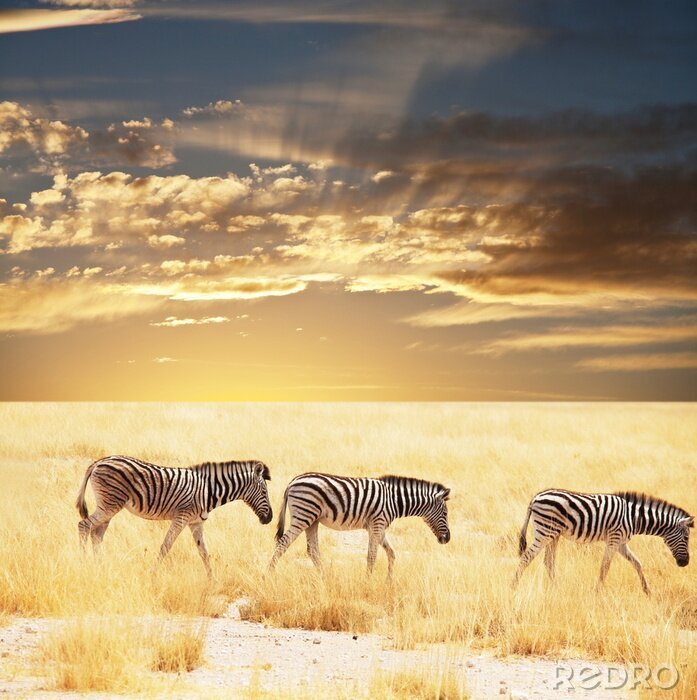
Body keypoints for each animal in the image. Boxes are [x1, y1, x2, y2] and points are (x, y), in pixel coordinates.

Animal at [75, 455, 272, 576]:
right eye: (264, 492)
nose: (269, 518)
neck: (208, 491)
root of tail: (99, 461)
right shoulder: (182, 517)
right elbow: (166, 546)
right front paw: (153, 575)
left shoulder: (196, 522)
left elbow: (204, 552)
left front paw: (212, 580)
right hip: (110, 504)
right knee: (84, 525)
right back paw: (84, 563)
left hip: (108, 506)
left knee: (96, 535)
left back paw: (100, 566)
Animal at [268, 472, 451, 577]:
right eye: (446, 514)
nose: (447, 539)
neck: (394, 500)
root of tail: (293, 481)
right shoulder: (377, 524)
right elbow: (372, 556)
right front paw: (368, 581)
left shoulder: (378, 527)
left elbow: (391, 553)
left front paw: (389, 581)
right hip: (303, 515)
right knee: (283, 543)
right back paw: (269, 574)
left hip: (312, 520)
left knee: (312, 550)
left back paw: (324, 578)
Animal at [514, 489, 693, 594]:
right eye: (686, 538)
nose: (685, 563)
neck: (635, 518)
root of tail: (535, 497)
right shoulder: (614, 539)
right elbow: (605, 567)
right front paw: (597, 592)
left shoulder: (621, 543)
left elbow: (637, 563)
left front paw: (647, 591)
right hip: (545, 531)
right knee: (526, 558)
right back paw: (513, 586)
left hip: (554, 534)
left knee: (548, 561)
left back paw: (557, 588)